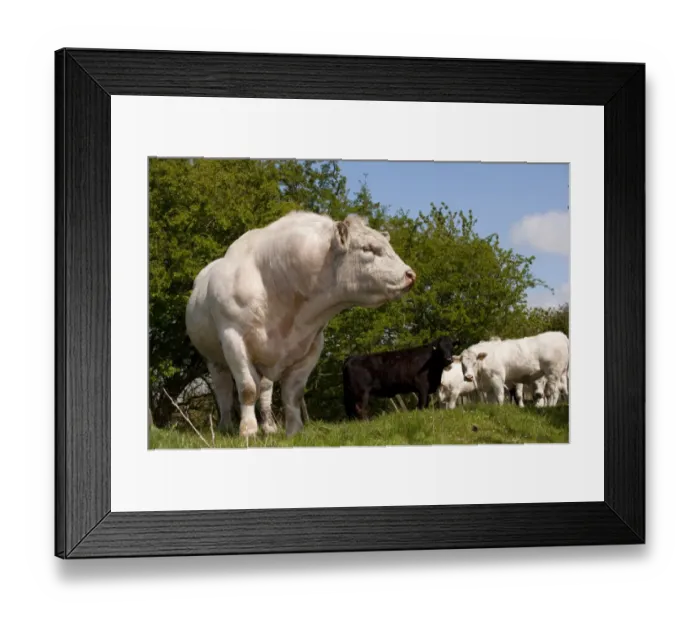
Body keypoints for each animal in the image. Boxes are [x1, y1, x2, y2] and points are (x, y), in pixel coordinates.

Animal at [186, 211, 416, 438]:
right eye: (368, 248)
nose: (410, 274)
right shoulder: (234, 339)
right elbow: (248, 389)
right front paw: (248, 431)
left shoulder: (311, 346)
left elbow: (293, 394)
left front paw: (294, 432)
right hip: (214, 359)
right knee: (223, 391)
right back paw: (225, 427)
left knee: (265, 390)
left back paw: (269, 427)